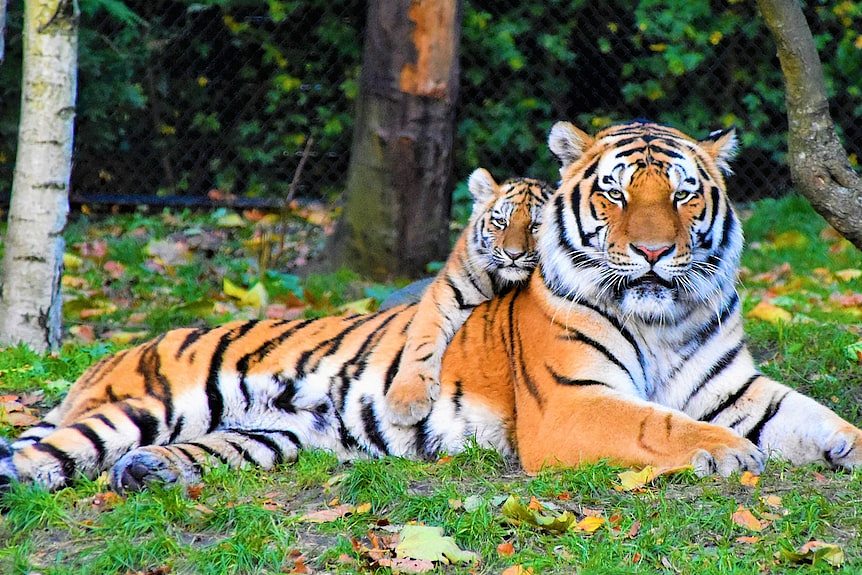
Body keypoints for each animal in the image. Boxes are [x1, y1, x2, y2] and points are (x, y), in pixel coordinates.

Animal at [1, 121, 862, 496]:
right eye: (617, 194)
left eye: (682, 195)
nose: (652, 252)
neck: (667, 318)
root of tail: (110, 355)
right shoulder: (573, 405)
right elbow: (663, 425)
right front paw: (730, 452)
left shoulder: (737, 387)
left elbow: (820, 418)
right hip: (142, 405)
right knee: (43, 455)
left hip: (269, 435)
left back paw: (145, 473)